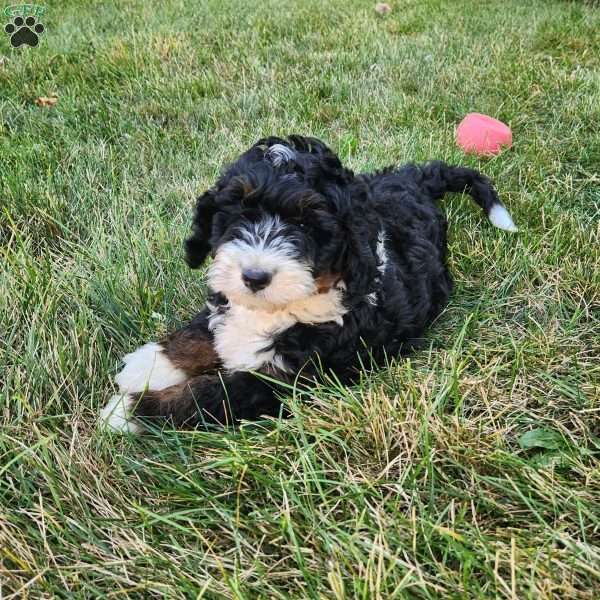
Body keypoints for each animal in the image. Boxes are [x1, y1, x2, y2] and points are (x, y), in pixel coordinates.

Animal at [99, 135, 516, 434]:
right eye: (239, 213)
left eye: (305, 225)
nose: (254, 277)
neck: (282, 308)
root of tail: (414, 180)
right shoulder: (228, 301)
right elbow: (202, 330)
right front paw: (148, 364)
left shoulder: (284, 381)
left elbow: (209, 395)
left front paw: (127, 411)